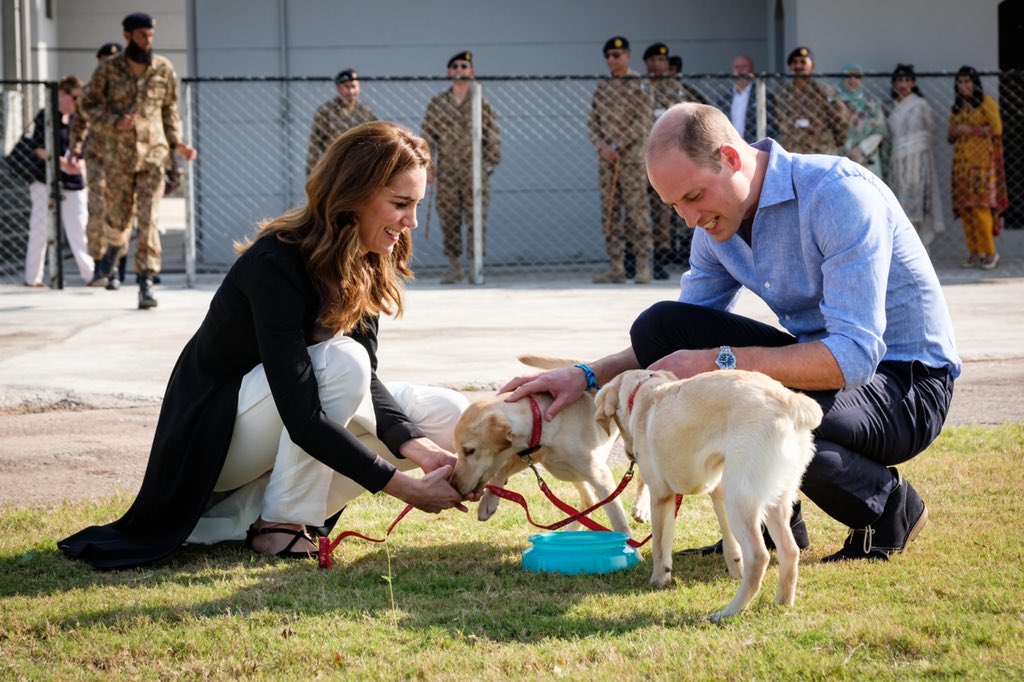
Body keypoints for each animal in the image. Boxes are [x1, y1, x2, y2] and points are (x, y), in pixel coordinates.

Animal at [450, 352, 630, 532]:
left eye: (469, 451)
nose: (453, 486)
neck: (544, 423)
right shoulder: (529, 454)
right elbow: (502, 469)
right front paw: (488, 502)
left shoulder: (601, 476)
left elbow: (619, 522)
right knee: (589, 500)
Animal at [598, 368, 819, 618]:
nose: (629, 453)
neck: (645, 393)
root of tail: (790, 402)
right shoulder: (709, 493)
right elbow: (709, 544)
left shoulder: (661, 495)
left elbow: (659, 547)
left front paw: (658, 579)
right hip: (774, 501)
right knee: (789, 551)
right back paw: (782, 604)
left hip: (740, 499)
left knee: (758, 556)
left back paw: (728, 612)